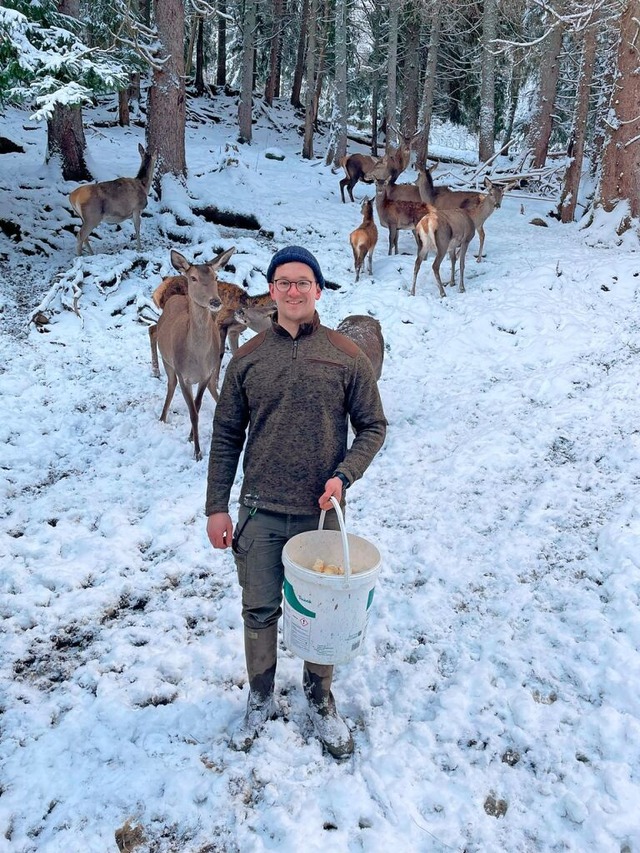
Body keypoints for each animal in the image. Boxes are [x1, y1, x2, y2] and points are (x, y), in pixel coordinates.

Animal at [156, 246, 236, 460]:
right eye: (193, 278)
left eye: (216, 276)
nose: (215, 301)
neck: (197, 358)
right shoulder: (184, 374)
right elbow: (192, 412)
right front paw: (198, 452)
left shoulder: (206, 375)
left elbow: (197, 407)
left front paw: (192, 438)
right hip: (167, 359)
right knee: (170, 384)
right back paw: (162, 418)